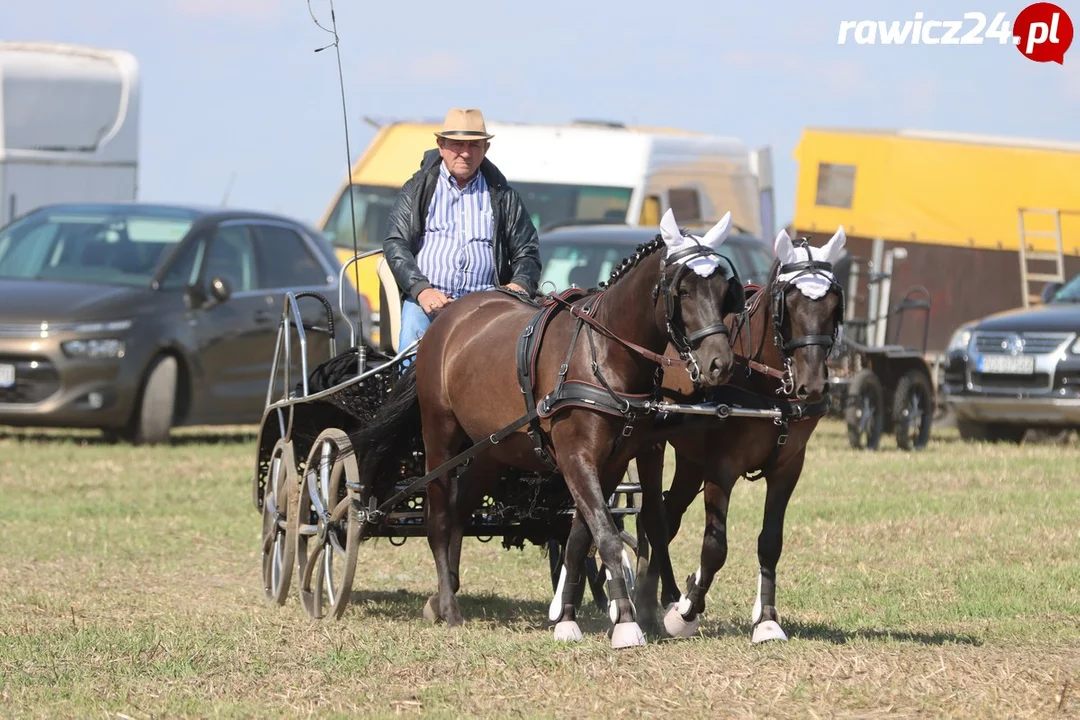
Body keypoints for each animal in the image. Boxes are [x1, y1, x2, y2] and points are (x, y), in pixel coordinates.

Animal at [349, 208, 747, 647]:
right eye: (684, 290)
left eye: (724, 290)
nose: (720, 363)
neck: (602, 352)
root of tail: (447, 319)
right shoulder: (576, 456)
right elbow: (605, 534)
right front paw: (626, 622)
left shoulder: (611, 462)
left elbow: (581, 536)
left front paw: (567, 616)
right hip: (439, 434)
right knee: (438, 518)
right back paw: (450, 608)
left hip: (490, 450)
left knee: (460, 510)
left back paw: (442, 595)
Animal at [552, 225, 846, 643]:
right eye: (787, 302)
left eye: (835, 303)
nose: (813, 385)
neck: (767, 389)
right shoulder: (722, 466)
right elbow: (715, 546)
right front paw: (686, 611)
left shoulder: (789, 466)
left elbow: (770, 542)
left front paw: (766, 618)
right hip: (652, 447)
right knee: (646, 517)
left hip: (690, 461)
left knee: (662, 518)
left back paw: (648, 601)